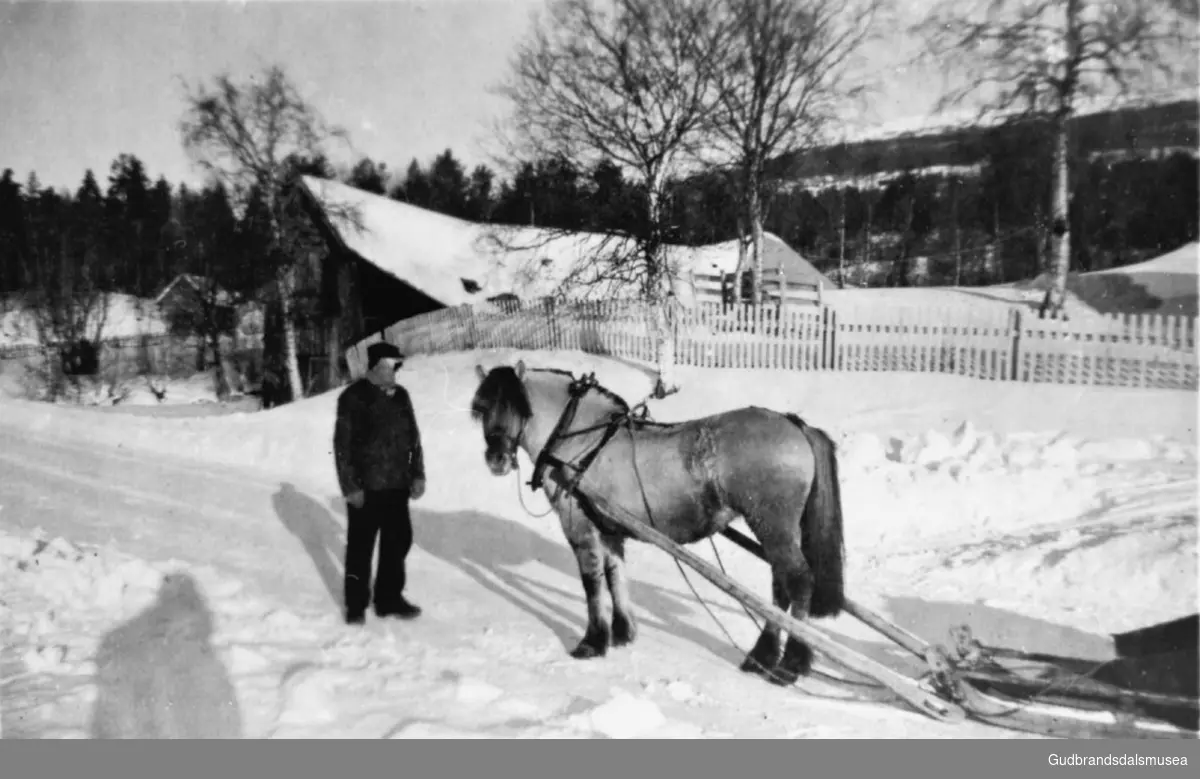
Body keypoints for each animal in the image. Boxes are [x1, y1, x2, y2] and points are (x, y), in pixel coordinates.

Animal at [463, 357, 849, 686]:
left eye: (520, 407)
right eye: (482, 410)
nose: (497, 459)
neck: (584, 441)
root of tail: (792, 423)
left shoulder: (579, 527)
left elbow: (592, 584)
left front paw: (593, 641)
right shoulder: (608, 529)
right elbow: (615, 574)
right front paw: (622, 632)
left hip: (773, 525)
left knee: (797, 582)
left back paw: (790, 664)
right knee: (779, 587)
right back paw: (762, 656)